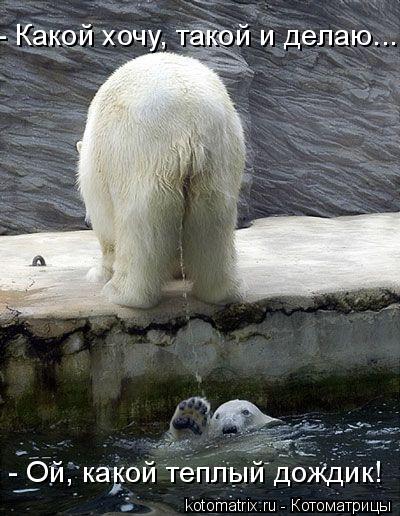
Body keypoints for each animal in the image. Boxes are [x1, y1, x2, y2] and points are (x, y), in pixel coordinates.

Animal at [75, 52, 244, 308]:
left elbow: (105, 225)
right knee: (213, 222)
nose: (84, 221)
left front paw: (98, 273)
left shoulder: (100, 166)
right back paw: (219, 291)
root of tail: (190, 123)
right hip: (220, 157)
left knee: (140, 225)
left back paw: (122, 293)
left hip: (139, 153)